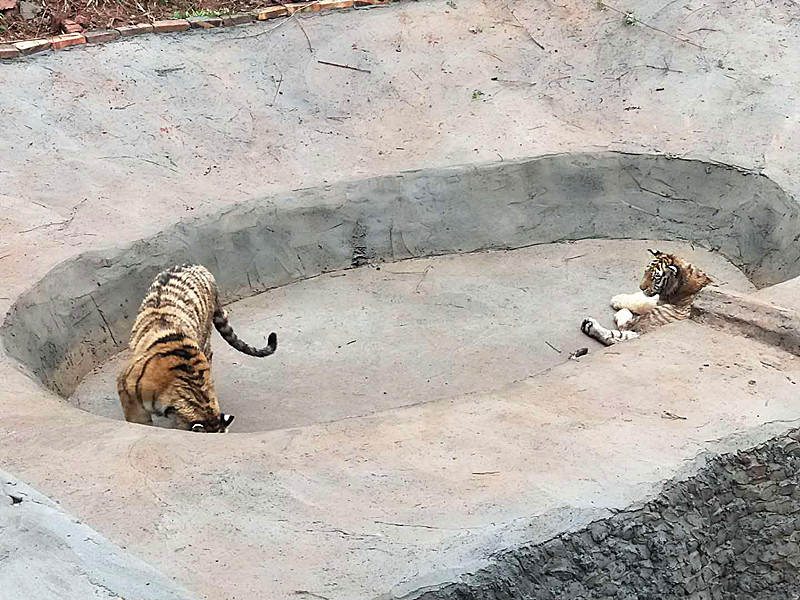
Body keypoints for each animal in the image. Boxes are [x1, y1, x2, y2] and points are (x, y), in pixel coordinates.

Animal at [580, 248, 712, 344]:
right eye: (646, 271)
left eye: (655, 277)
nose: (641, 287)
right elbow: (645, 300)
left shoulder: (663, 306)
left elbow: (642, 302)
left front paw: (617, 299)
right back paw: (588, 325)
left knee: (623, 329)